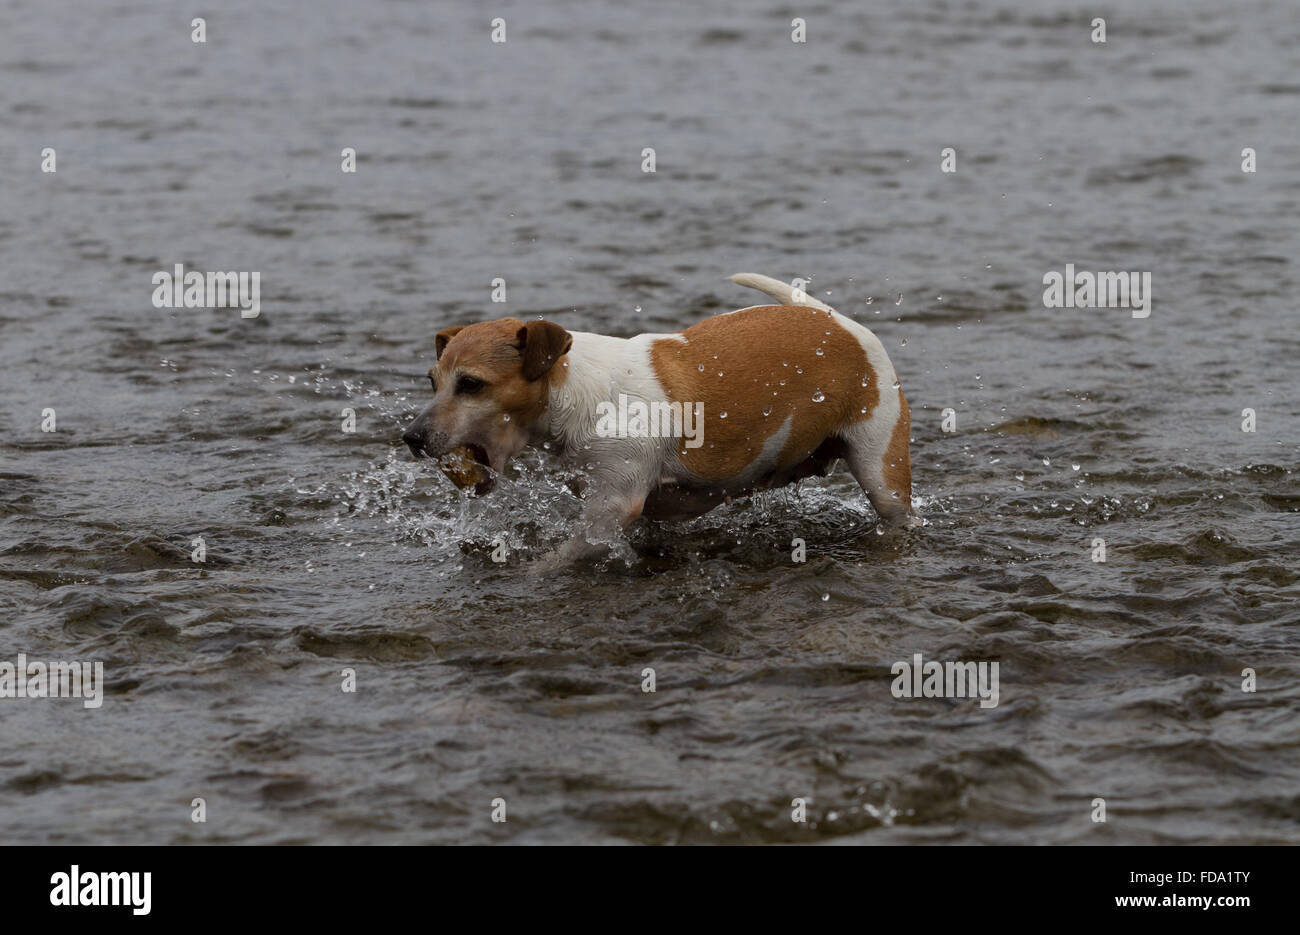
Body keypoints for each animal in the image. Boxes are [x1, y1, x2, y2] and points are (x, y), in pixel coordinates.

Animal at [400, 273, 920, 564]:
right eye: (432, 381)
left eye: (471, 384)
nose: (411, 437)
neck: (576, 392)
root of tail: (838, 322)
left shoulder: (611, 509)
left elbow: (558, 557)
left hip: (881, 471)